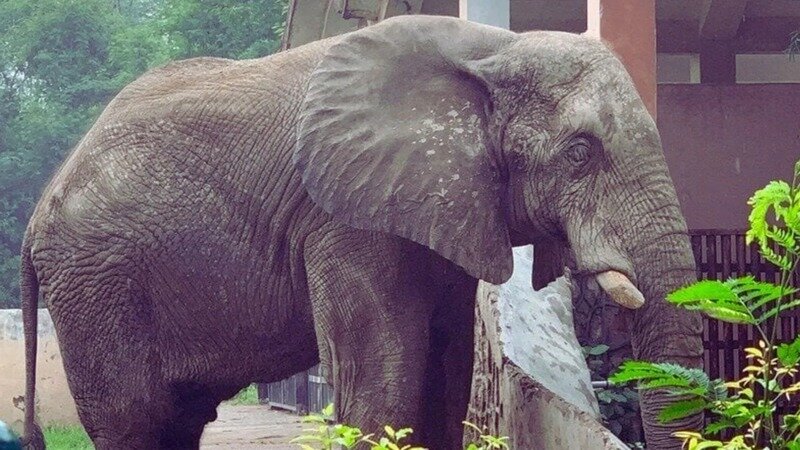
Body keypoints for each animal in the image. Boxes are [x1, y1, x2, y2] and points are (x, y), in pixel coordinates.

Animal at [19, 15, 703, 450]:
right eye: (580, 153)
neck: (496, 48)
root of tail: (37, 211)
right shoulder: (343, 217)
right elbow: (381, 388)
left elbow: (444, 382)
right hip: (95, 284)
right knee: (134, 419)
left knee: (180, 419)